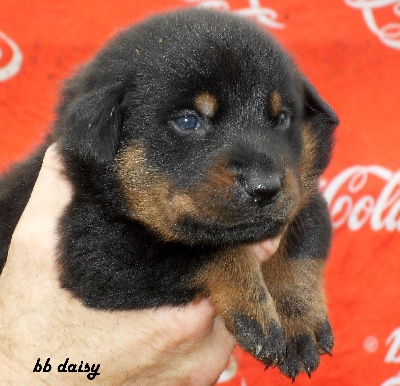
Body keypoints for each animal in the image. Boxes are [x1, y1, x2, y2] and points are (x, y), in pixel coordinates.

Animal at [0, 8, 338, 380]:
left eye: (282, 118)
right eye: (188, 121)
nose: (265, 186)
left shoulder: (304, 196)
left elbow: (299, 240)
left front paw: (298, 318)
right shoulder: (92, 246)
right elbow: (209, 249)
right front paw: (254, 307)